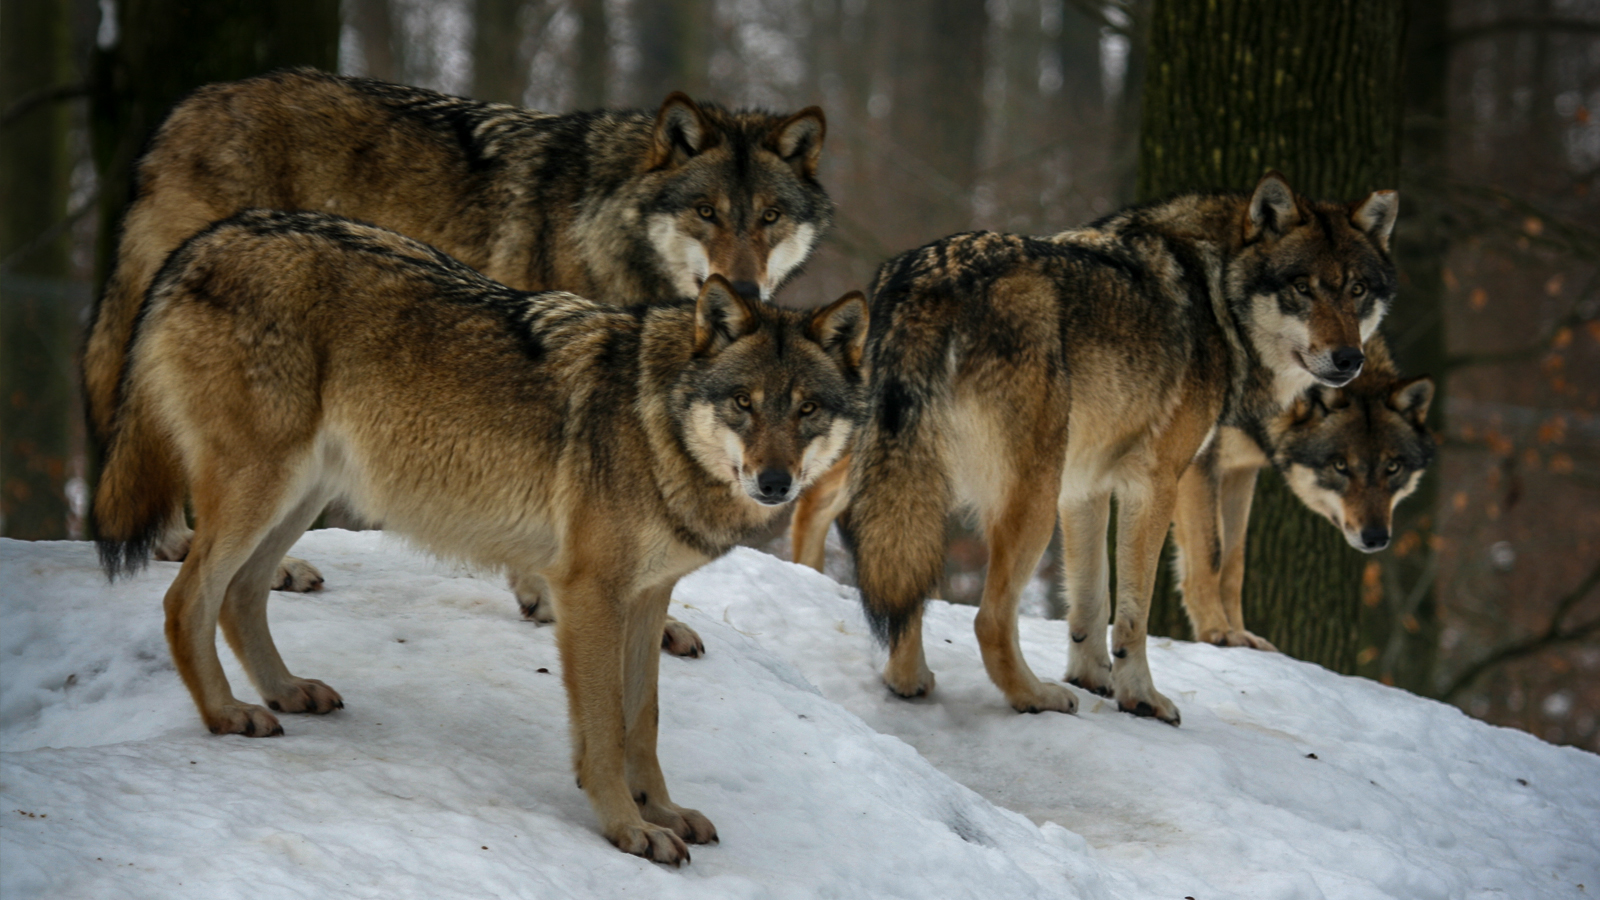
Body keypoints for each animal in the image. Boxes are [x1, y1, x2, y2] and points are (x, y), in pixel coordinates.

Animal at [82, 67, 832, 608]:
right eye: (706, 212)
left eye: (768, 217)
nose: (747, 290)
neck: (603, 223)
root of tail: (183, 110)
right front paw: (542, 597)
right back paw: (207, 549)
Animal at [91, 210, 867, 865]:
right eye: (743, 404)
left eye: (806, 410)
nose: (775, 482)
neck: (655, 425)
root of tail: (208, 238)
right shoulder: (589, 595)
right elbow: (605, 728)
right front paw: (628, 828)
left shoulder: (648, 599)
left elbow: (643, 719)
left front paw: (663, 811)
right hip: (263, 488)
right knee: (186, 599)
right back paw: (227, 714)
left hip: (301, 493)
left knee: (242, 594)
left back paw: (286, 691)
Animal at [837, 172, 1397, 725]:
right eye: (1302, 288)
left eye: (1357, 290)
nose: (1349, 359)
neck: (1215, 293)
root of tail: (928, 280)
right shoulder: (1155, 484)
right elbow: (1132, 613)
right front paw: (1141, 697)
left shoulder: (1083, 488)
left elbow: (1090, 600)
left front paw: (1091, 678)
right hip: (1030, 500)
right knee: (989, 619)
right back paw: (1033, 696)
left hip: (919, 484)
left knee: (902, 584)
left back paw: (909, 681)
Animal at [1170, 335, 1435, 650]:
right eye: (1340, 465)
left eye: (1393, 467)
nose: (1375, 538)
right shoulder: (1199, 463)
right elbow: (1211, 554)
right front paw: (1216, 632)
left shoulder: (1238, 472)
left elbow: (1233, 562)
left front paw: (1239, 635)